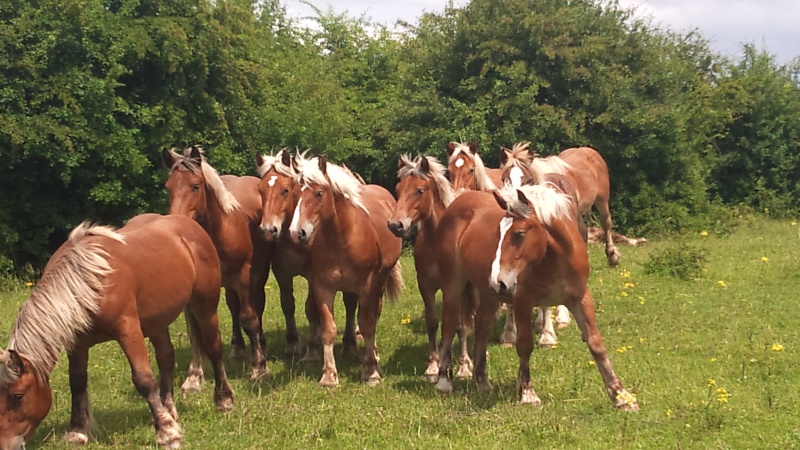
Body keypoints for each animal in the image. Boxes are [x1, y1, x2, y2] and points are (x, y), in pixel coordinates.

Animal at [0, 214, 233, 450]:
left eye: (18, 395)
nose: (6, 445)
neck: (86, 282)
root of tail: (187, 223)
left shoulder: (128, 330)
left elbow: (144, 380)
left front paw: (167, 434)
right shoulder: (77, 344)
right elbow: (77, 382)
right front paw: (76, 431)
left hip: (205, 306)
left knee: (213, 349)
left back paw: (223, 400)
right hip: (157, 322)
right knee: (166, 358)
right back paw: (169, 410)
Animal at [162, 146, 268, 382]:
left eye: (195, 185)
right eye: (168, 187)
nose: (177, 223)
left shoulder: (243, 278)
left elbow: (249, 319)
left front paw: (259, 367)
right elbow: (194, 331)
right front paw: (193, 376)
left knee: (255, 306)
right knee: (233, 307)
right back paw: (237, 348)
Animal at [290, 156, 406, 384]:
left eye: (319, 193)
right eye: (295, 193)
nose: (297, 232)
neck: (342, 237)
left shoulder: (368, 287)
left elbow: (368, 324)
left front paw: (370, 372)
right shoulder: (323, 287)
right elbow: (328, 329)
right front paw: (329, 376)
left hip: (379, 284)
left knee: (374, 316)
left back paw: (374, 355)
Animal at [386, 156, 472, 382]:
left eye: (419, 190)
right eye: (398, 189)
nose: (395, 225)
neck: (437, 239)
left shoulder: (456, 288)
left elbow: (460, 325)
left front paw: (463, 368)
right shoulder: (425, 285)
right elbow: (433, 322)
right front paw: (433, 366)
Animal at [432, 184, 636, 412]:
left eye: (519, 234)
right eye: (498, 233)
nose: (498, 281)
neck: (556, 259)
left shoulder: (580, 299)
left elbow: (596, 344)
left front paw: (621, 396)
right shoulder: (523, 301)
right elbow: (524, 345)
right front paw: (528, 393)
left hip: (489, 295)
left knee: (482, 328)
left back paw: (482, 381)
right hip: (454, 284)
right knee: (449, 324)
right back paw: (443, 380)